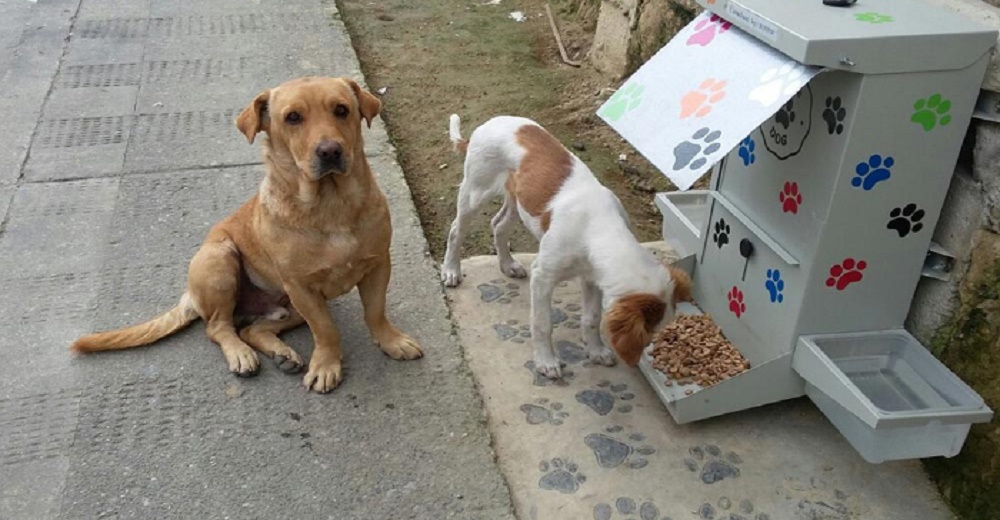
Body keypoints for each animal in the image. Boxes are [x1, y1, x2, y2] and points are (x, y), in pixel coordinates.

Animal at [71, 77, 422, 392]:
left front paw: (391, 341)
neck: (331, 204)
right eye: (293, 117)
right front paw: (326, 366)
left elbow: (375, 312)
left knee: (252, 329)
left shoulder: (377, 265)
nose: (330, 151)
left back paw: (281, 354)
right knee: (218, 327)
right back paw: (241, 355)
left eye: (341, 110)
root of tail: (190, 294)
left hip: (290, 307)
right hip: (221, 261)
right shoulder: (302, 287)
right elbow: (326, 331)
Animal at [442, 116, 692, 378]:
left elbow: (592, 318)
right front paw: (546, 361)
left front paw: (595, 351)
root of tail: (486, 124)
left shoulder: (592, 277)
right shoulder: (543, 276)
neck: (598, 226)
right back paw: (451, 271)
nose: (650, 348)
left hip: (518, 199)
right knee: (456, 230)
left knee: (498, 225)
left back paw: (507, 264)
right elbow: (542, 324)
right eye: (648, 330)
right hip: (476, 192)